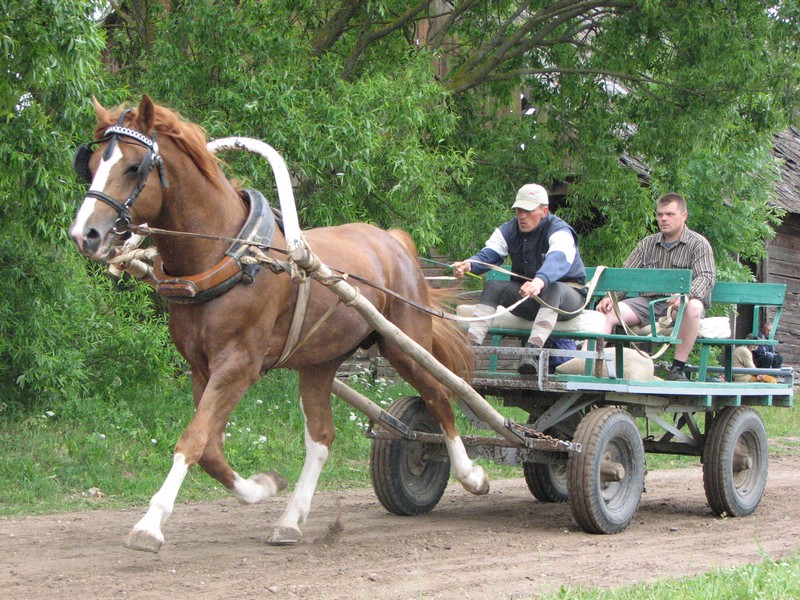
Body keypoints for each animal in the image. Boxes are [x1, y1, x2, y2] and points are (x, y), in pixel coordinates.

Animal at [69, 97, 484, 552]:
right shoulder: (203, 368)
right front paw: (262, 487)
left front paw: (149, 525)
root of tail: (393, 240)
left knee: (440, 396)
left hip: (404, 345)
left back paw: (471, 475)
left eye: (133, 167)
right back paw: (290, 519)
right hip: (320, 362)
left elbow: (194, 439)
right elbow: (210, 448)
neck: (228, 256)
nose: (84, 234)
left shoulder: (238, 366)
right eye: (91, 164)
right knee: (321, 437)